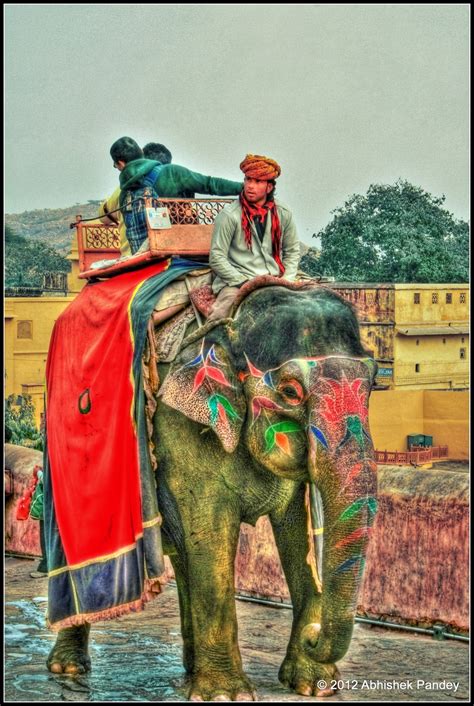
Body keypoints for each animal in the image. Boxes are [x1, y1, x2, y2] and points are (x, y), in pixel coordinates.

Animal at [47, 281, 378, 701]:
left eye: (373, 384)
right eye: (290, 391)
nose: (313, 635)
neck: (232, 322)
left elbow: (295, 531)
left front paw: (313, 685)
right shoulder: (182, 428)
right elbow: (212, 531)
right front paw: (226, 694)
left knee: (184, 557)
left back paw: (188, 674)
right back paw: (68, 668)